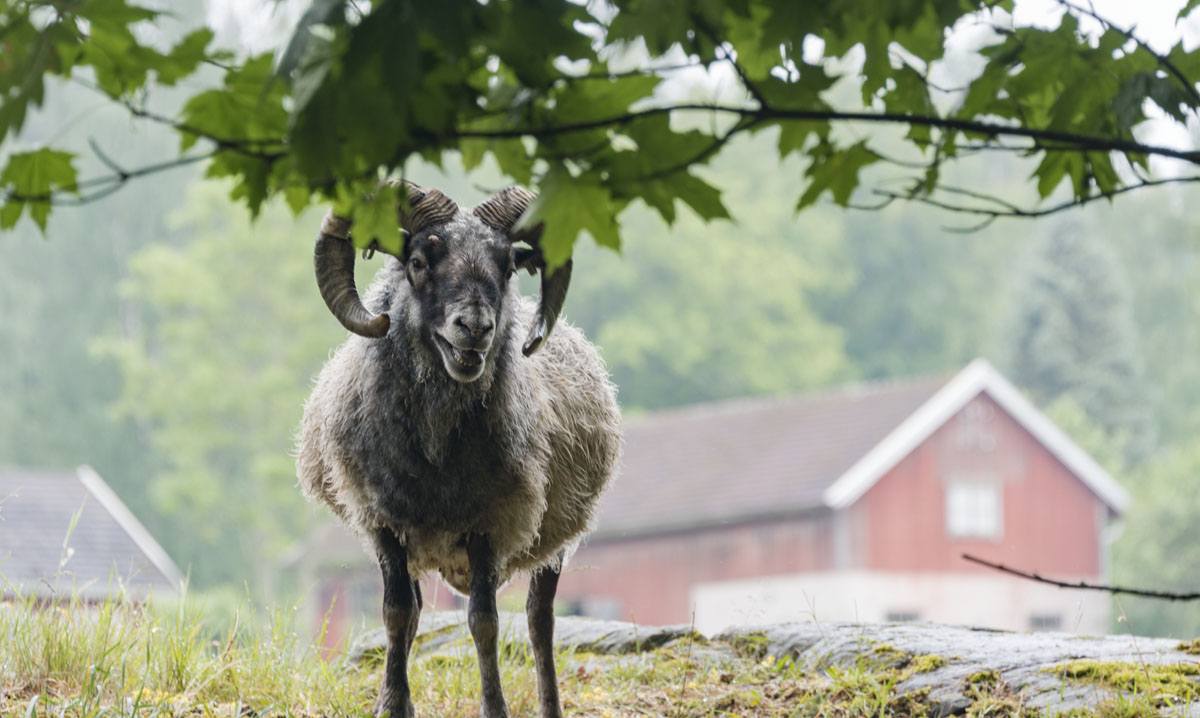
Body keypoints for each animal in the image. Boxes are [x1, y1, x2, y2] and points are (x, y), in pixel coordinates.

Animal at [296, 182, 621, 718]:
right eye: (418, 261)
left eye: (508, 266)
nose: (474, 328)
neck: (435, 455)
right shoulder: (383, 521)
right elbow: (395, 613)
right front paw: (393, 705)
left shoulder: (491, 521)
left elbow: (484, 622)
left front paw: (495, 708)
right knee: (414, 610)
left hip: (556, 534)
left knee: (540, 619)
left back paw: (549, 702)